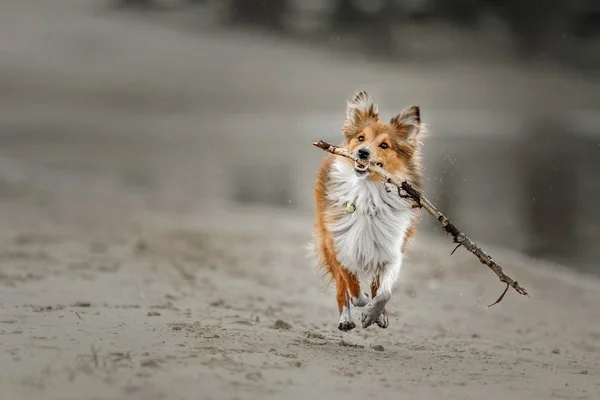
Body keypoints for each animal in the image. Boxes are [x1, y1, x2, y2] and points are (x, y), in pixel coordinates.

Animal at [312, 91, 424, 332]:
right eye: (361, 138)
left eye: (384, 145)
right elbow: (350, 283)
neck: (368, 193)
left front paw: (373, 313)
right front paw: (361, 300)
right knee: (341, 289)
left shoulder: (393, 249)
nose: (362, 153)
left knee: (376, 283)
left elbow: (385, 291)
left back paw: (379, 315)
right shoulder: (338, 242)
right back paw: (346, 319)